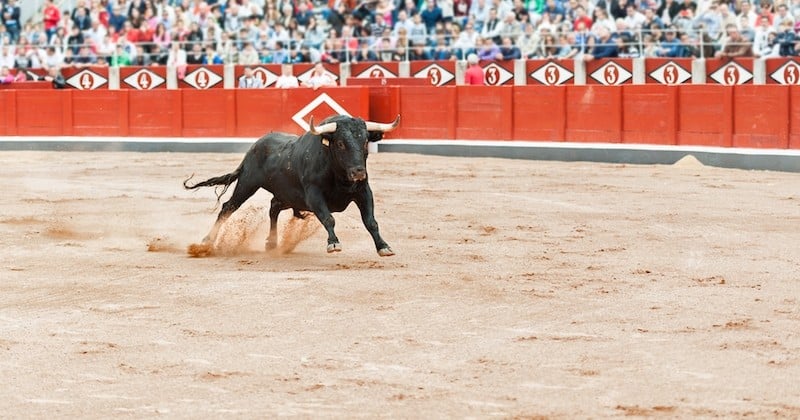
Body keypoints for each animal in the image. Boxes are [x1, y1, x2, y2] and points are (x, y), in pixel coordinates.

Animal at [185, 113, 404, 256]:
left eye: (365, 142)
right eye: (341, 143)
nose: (358, 172)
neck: (338, 174)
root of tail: (254, 148)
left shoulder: (363, 191)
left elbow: (371, 221)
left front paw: (383, 247)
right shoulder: (314, 194)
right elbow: (328, 218)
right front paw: (333, 243)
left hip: (285, 196)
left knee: (273, 207)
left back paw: (272, 242)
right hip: (247, 183)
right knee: (228, 207)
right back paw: (206, 242)